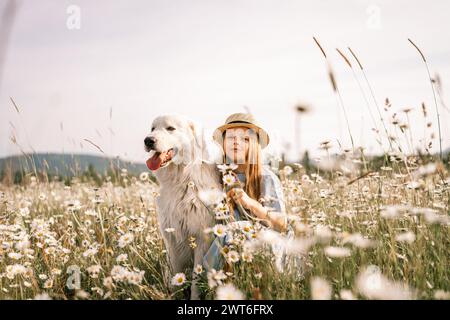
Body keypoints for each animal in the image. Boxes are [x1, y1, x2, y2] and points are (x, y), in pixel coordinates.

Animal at [144, 114, 221, 298]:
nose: (148, 140)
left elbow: (195, 280)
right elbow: (175, 278)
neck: (182, 181)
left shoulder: (201, 240)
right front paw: (174, 295)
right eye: (152, 128)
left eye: (170, 128)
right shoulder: (172, 240)